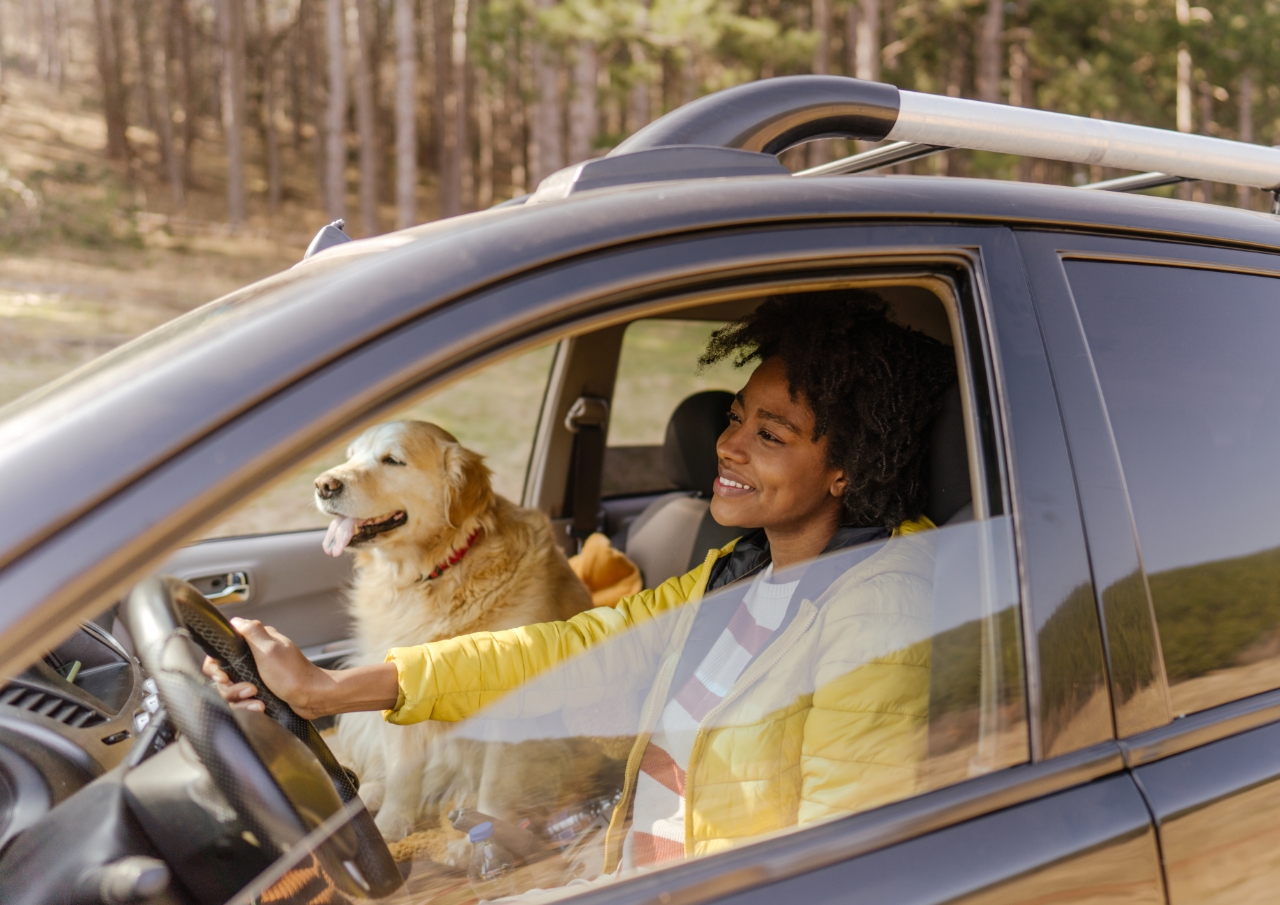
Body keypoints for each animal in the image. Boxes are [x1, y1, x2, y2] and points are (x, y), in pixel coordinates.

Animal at [312, 422, 591, 844]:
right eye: (351, 456)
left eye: (392, 460)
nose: (323, 484)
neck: (437, 572)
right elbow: (402, 770)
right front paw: (391, 826)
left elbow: (496, 782)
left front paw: (490, 835)